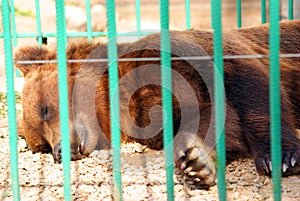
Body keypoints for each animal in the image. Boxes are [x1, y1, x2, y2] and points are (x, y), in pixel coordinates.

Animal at [14, 20, 300, 188]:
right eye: (41, 145)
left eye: (45, 109)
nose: (60, 151)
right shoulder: (149, 119)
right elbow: (213, 121)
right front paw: (197, 163)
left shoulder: (190, 57)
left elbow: (251, 90)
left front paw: (281, 157)